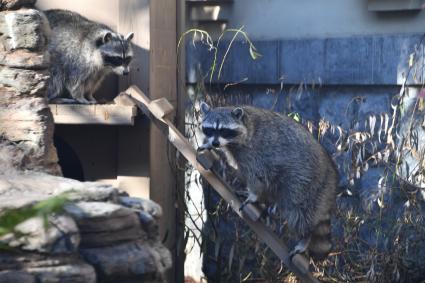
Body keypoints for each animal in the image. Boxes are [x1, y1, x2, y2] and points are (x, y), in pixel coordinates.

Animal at [199, 102, 338, 262]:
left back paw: (305, 238)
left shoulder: (256, 152)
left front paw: (253, 195)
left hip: (308, 184)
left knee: (299, 213)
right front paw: (208, 144)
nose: (215, 143)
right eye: (210, 129)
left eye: (224, 131)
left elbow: (257, 176)